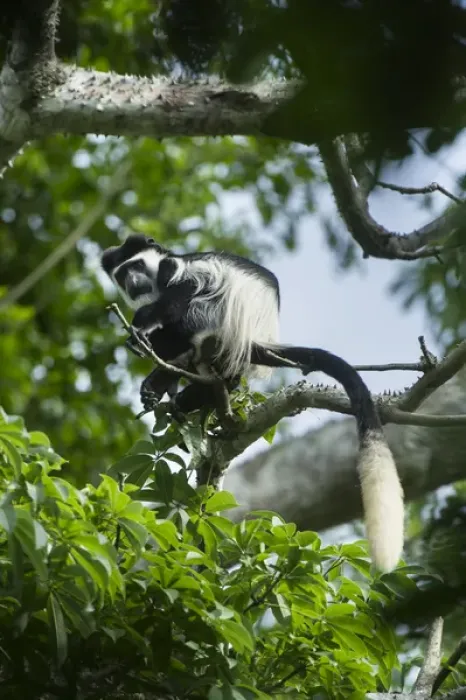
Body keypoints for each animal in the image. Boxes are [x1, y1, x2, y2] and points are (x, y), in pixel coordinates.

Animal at [101, 233, 404, 573]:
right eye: (123, 274)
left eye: (137, 266)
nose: (134, 282)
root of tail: (255, 342)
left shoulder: (176, 271)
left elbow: (180, 295)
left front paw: (142, 330)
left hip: (218, 323)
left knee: (188, 315)